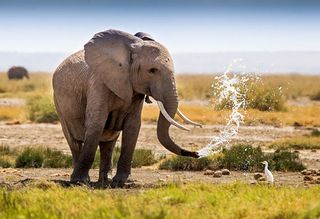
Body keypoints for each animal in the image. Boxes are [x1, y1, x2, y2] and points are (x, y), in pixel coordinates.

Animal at [53, 28, 201, 186]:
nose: (196, 153)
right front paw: (81, 182)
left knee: (108, 143)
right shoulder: (99, 82)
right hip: (59, 104)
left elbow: (133, 127)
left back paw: (105, 180)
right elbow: (96, 123)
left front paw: (122, 183)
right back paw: (78, 180)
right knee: (74, 141)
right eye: (152, 70)